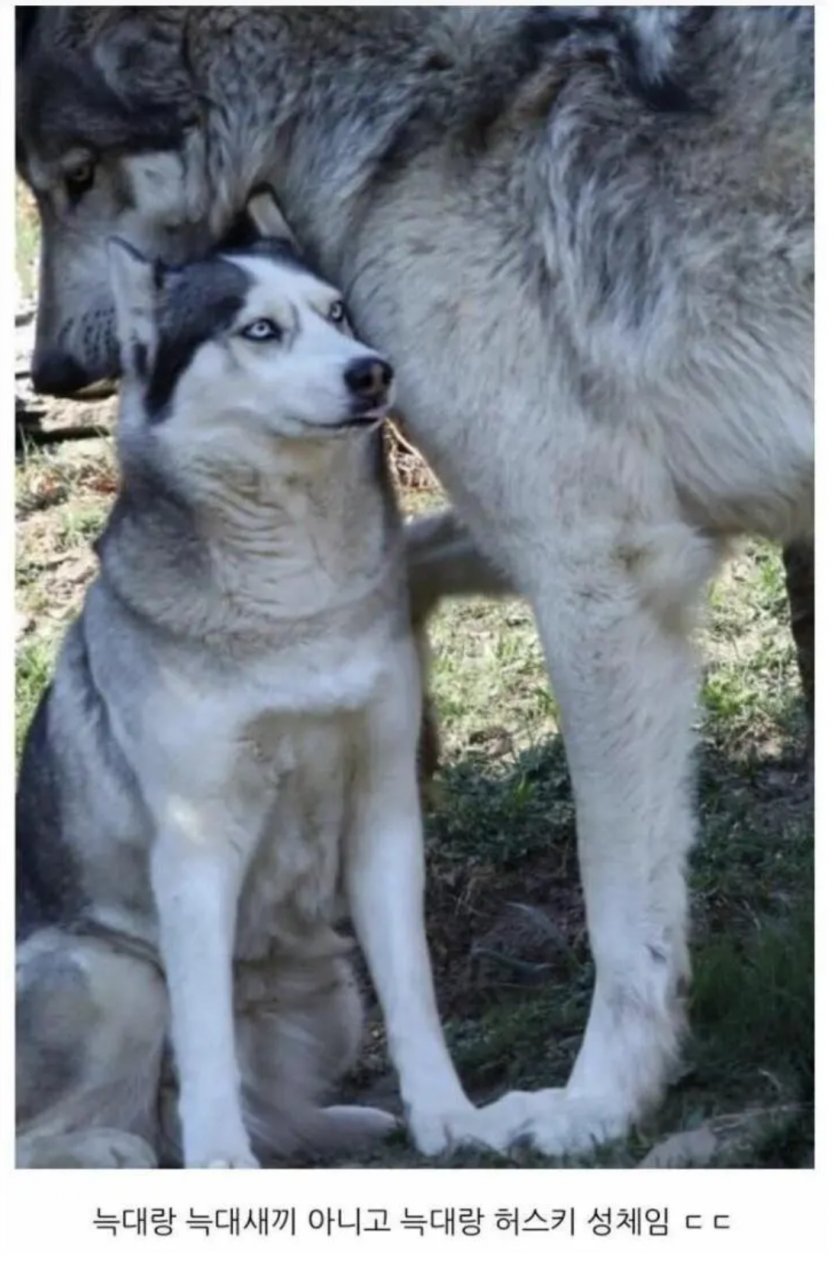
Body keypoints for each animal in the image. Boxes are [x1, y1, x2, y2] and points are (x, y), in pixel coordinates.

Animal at [14, 190, 507, 1167]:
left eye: (338, 314)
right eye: (260, 330)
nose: (372, 372)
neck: (294, 599)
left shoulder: (384, 808)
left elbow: (414, 991)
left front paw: (450, 1117)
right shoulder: (197, 842)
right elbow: (204, 1034)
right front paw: (218, 1160)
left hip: (332, 992)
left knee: (261, 1101)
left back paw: (335, 1122)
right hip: (113, 974)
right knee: (81, 1123)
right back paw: (115, 1150)